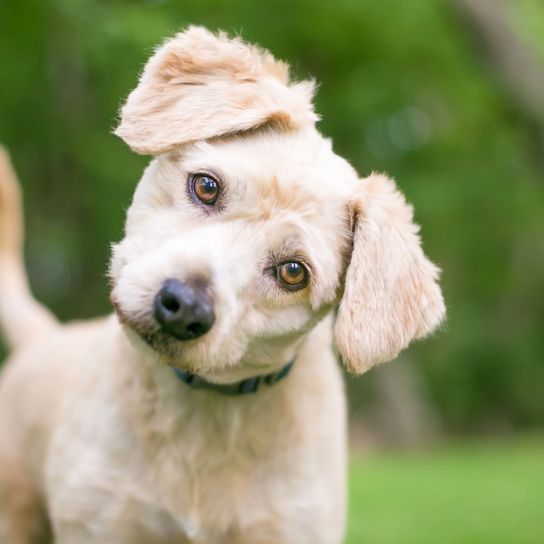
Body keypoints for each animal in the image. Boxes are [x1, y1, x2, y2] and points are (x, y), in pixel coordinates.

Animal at [0, 26, 444, 544]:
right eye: (206, 186)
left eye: (293, 272)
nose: (184, 307)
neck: (204, 411)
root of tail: (42, 337)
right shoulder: (100, 522)